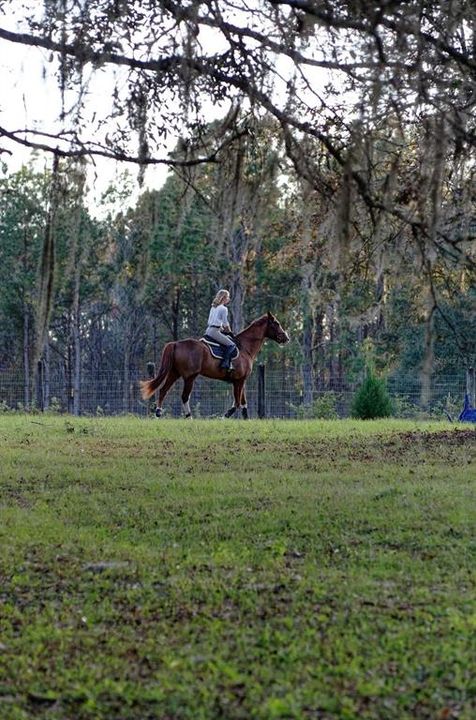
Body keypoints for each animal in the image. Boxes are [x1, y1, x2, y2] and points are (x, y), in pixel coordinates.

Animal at [139, 312, 288, 420]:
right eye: (276, 323)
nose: (286, 337)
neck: (245, 347)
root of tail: (176, 343)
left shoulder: (240, 380)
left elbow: (243, 401)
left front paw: (246, 419)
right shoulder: (239, 381)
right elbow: (237, 402)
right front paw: (225, 415)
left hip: (174, 373)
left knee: (163, 390)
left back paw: (158, 412)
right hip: (189, 377)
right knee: (184, 396)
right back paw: (189, 417)